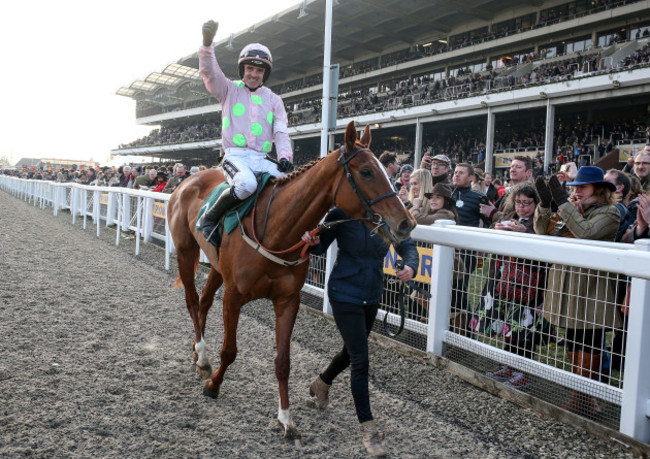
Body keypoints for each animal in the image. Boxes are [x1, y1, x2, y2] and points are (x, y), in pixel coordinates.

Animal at [165, 122, 412, 442]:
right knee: (193, 301)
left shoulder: (288, 300)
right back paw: (204, 358)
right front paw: (214, 385)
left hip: (217, 266)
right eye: (367, 171)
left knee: (205, 302)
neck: (276, 230)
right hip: (186, 251)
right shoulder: (234, 295)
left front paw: (286, 419)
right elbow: (230, 350)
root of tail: (188, 180)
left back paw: (198, 353)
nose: (406, 222)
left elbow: (283, 362)